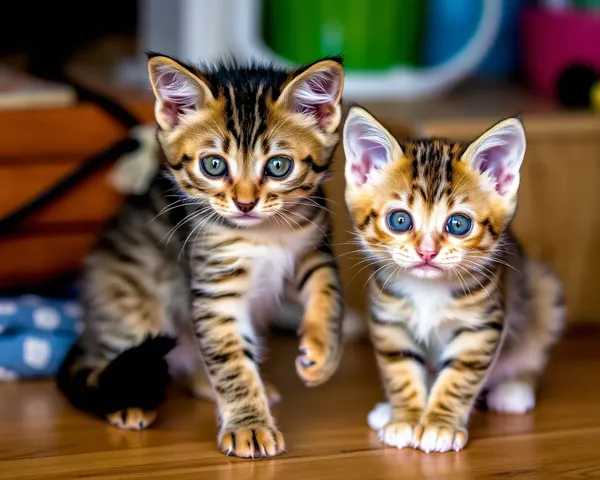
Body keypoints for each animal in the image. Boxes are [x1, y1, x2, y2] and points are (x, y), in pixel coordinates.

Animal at [57, 52, 346, 458]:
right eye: (214, 165)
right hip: (128, 307)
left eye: (278, 166)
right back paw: (129, 402)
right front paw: (249, 427)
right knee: (114, 361)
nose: (245, 203)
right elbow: (230, 361)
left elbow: (328, 293)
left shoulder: (315, 248)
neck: (261, 234)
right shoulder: (215, 290)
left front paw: (321, 354)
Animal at [342, 106, 568, 454]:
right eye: (399, 220)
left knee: (534, 351)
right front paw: (405, 418)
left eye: (458, 224)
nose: (427, 252)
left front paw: (439, 426)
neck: (427, 289)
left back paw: (515, 388)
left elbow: (459, 376)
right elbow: (400, 370)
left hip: (544, 288)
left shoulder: (482, 325)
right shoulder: (389, 319)